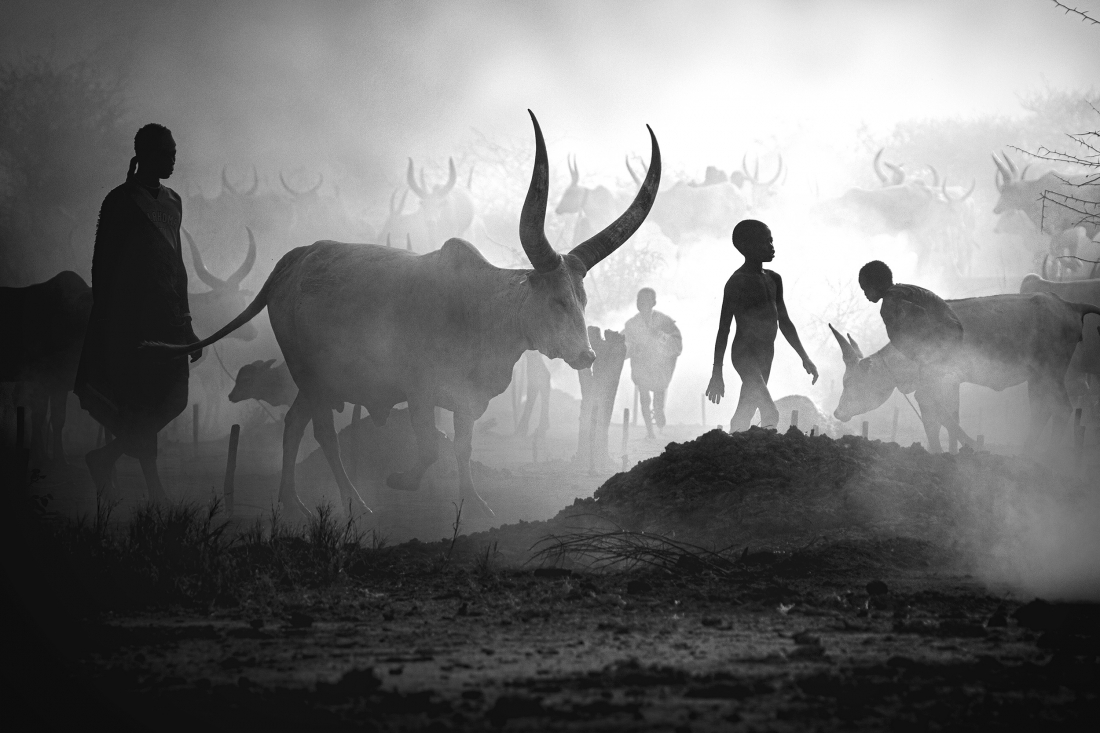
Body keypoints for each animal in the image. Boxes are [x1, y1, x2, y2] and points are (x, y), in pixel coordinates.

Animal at [0, 271, 93, 464]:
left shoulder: (60, 383)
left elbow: (58, 419)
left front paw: (60, 458)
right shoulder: (40, 379)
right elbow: (39, 416)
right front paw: (39, 455)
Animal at [144, 111, 662, 521]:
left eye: (583, 298)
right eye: (555, 299)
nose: (586, 356)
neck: (480, 309)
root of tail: (291, 263)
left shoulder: (466, 400)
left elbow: (462, 447)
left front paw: (474, 503)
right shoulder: (418, 392)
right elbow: (432, 444)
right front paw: (402, 481)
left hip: (319, 382)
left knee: (294, 425)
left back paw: (294, 502)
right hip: (309, 373)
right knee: (322, 432)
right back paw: (355, 501)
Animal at [829, 292, 1100, 453]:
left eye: (850, 381)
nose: (838, 412)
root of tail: (1069, 305)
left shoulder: (943, 381)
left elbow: (946, 418)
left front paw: (969, 449)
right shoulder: (937, 387)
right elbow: (938, 421)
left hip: (1051, 372)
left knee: (1061, 409)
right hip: (1038, 378)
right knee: (1042, 411)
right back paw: (1027, 454)